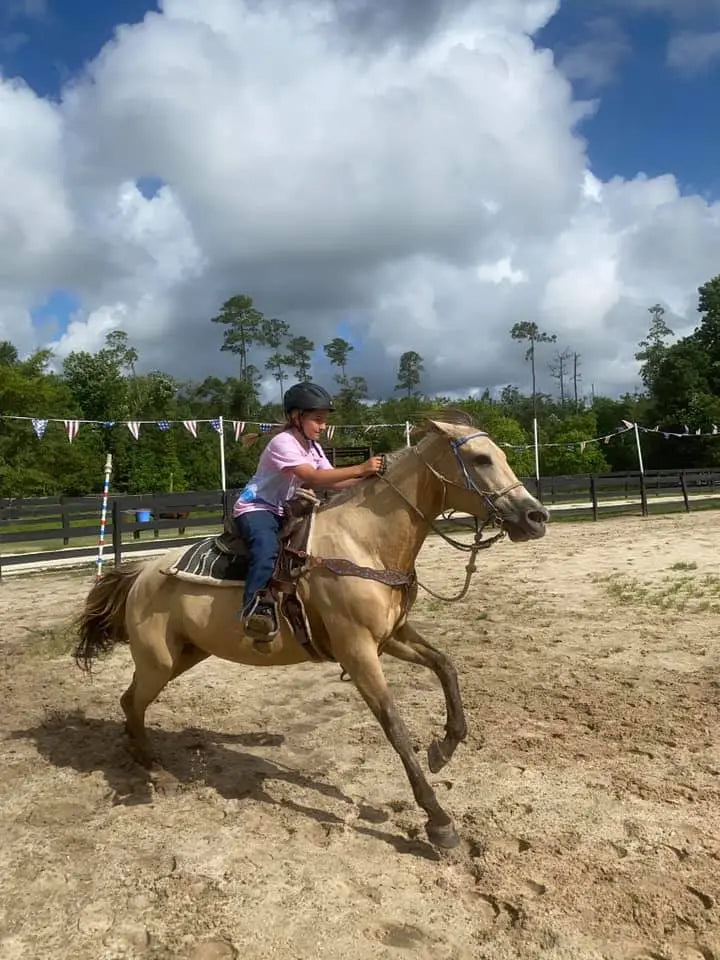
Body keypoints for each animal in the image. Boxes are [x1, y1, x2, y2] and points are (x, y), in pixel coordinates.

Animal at [76, 412, 548, 848]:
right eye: (481, 458)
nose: (536, 516)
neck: (364, 543)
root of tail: (140, 573)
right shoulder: (357, 651)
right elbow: (394, 726)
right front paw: (438, 820)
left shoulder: (390, 637)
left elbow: (445, 666)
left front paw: (445, 747)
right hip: (159, 661)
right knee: (132, 701)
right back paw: (155, 770)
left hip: (184, 655)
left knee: (130, 701)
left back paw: (142, 759)